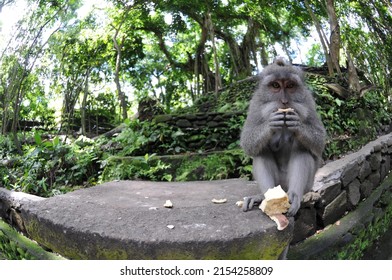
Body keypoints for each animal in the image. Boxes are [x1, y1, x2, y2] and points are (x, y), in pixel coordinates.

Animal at [240, 57, 326, 217]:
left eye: (290, 85)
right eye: (276, 85)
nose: (285, 102)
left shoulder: (308, 101)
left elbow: (319, 141)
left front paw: (297, 125)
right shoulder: (256, 103)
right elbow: (247, 140)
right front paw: (271, 124)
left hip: (305, 184)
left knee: (303, 149)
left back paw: (294, 195)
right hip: (278, 183)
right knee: (261, 152)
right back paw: (266, 197)